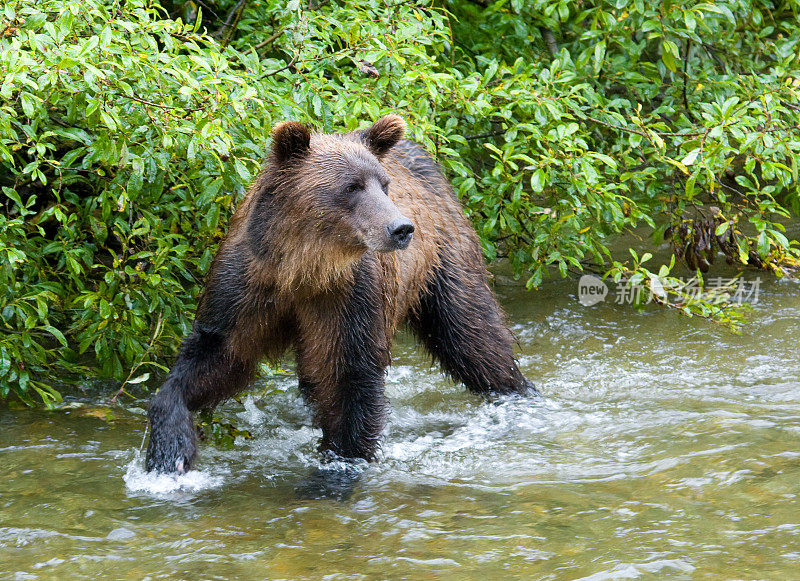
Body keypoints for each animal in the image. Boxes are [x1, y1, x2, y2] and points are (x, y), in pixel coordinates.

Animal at [147, 115, 536, 474]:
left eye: (384, 184)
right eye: (352, 186)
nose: (401, 228)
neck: (304, 268)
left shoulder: (349, 295)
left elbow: (351, 374)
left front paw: (340, 464)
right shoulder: (247, 284)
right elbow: (216, 354)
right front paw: (169, 451)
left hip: (444, 257)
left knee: (471, 334)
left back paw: (517, 390)